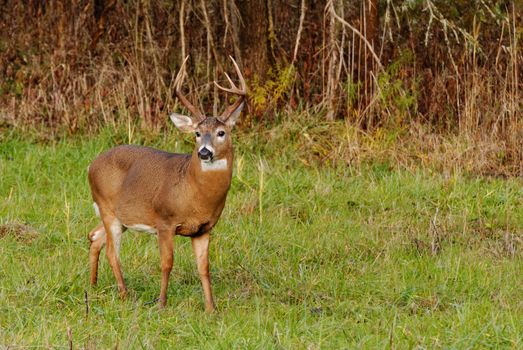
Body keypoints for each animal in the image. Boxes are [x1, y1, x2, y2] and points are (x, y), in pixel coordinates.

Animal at [87, 56, 247, 314]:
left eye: (221, 132)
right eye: (197, 133)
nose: (204, 152)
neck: (193, 192)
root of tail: (91, 165)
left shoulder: (204, 229)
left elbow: (204, 268)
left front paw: (211, 308)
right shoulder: (165, 221)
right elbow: (166, 264)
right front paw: (162, 303)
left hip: (121, 217)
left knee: (95, 236)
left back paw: (93, 285)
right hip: (107, 206)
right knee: (112, 250)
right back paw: (124, 294)